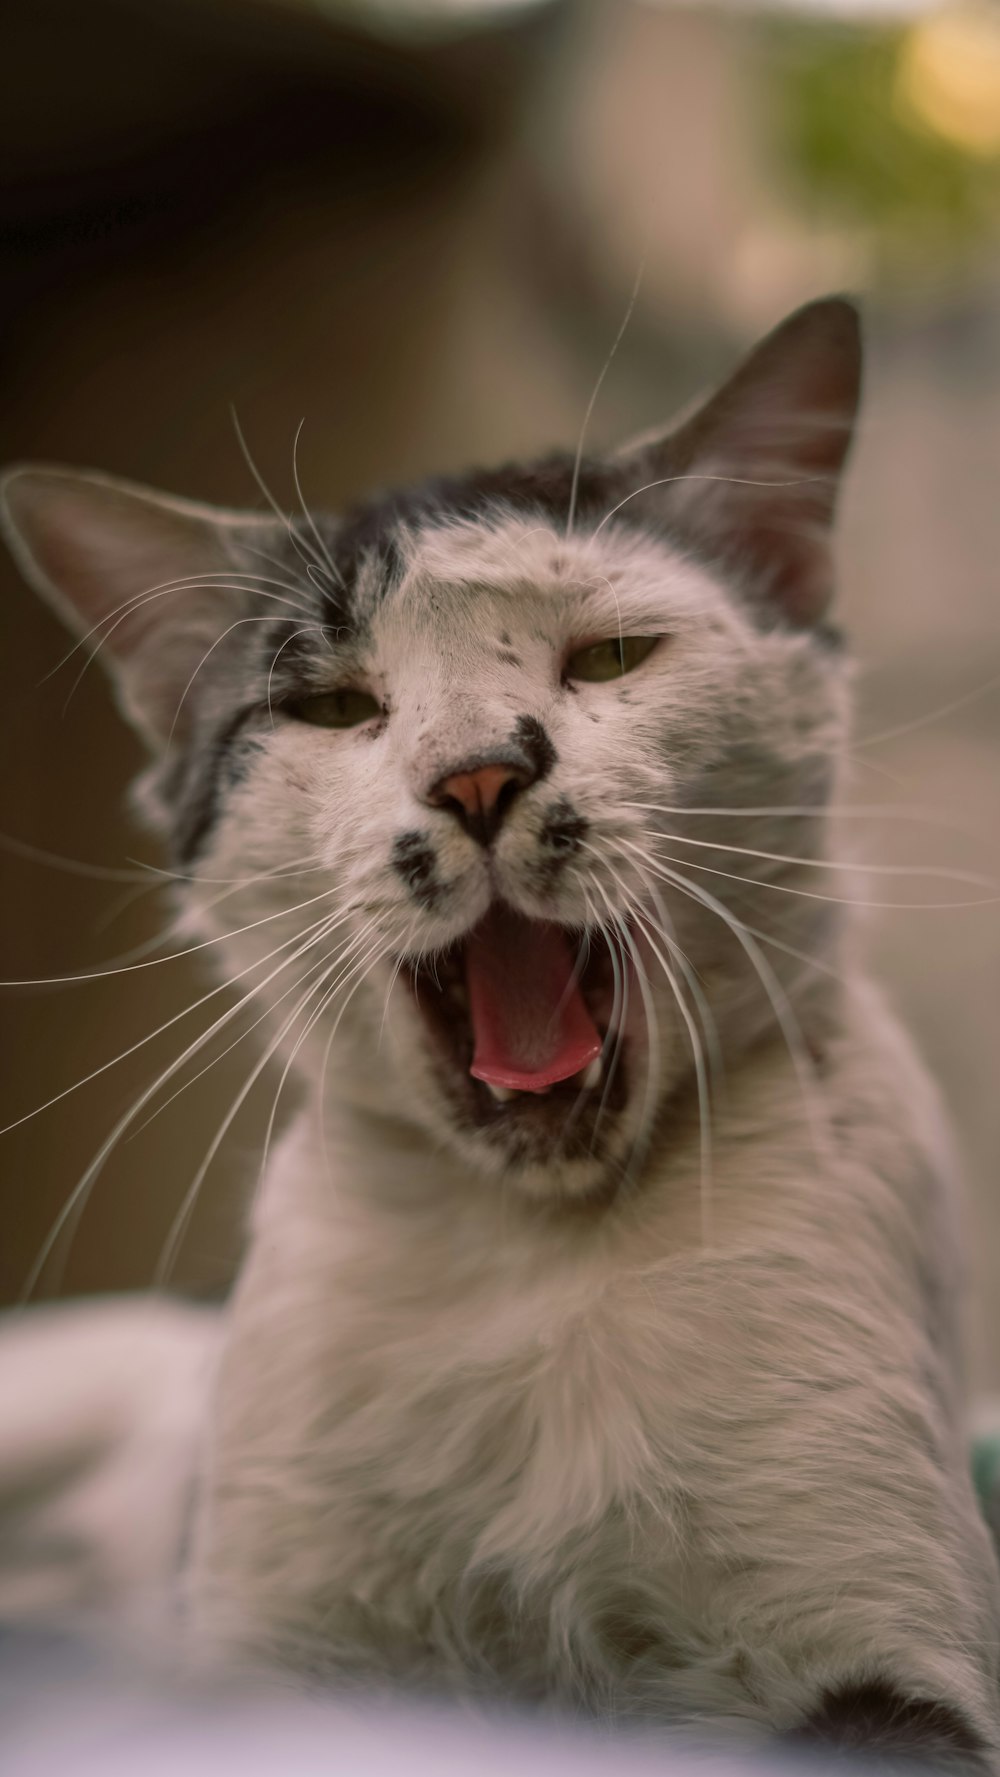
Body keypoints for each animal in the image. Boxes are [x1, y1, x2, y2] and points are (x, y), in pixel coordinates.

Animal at [1, 294, 1000, 1762]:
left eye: (612, 654)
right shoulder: (261, 1647)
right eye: (332, 704)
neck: (529, 1257)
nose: (477, 774)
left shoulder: (887, 1654)